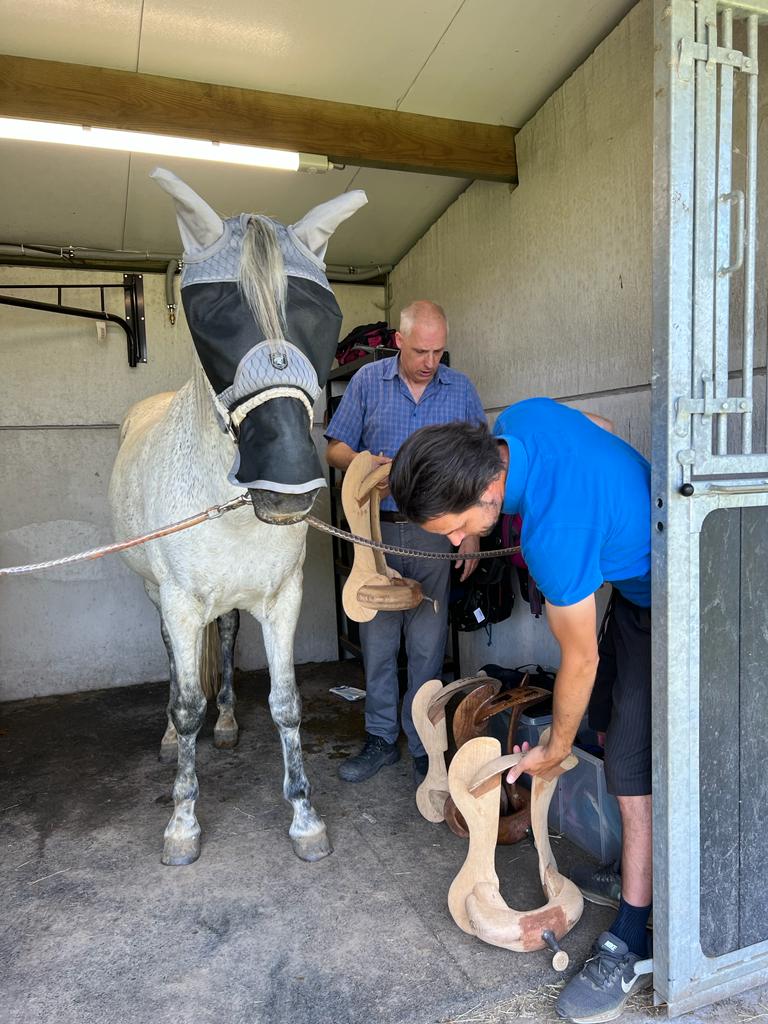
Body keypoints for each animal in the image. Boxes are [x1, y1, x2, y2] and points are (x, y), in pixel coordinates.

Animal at [109, 167, 370, 864]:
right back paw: (176, 736)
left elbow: (286, 703)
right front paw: (182, 823)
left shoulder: (282, 598)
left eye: (323, 314)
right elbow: (185, 702)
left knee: (223, 640)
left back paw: (226, 721)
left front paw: (305, 817)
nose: (286, 488)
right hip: (157, 595)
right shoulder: (178, 599)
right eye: (214, 320)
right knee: (175, 660)